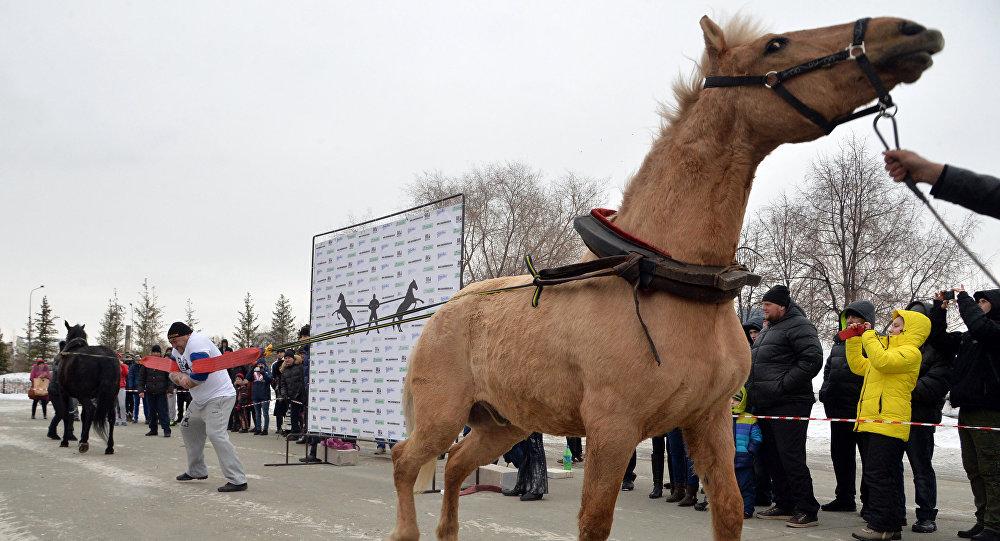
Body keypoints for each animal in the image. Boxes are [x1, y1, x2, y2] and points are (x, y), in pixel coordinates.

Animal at [56, 322, 118, 454]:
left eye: (67, 334)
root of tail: (106, 357)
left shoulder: (64, 393)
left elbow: (66, 415)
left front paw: (65, 441)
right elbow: (83, 417)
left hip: (82, 395)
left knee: (90, 410)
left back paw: (84, 442)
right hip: (111, 396)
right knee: (111, 417)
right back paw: (109, 446)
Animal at [386, 13, 940, 540]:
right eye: (775, 44)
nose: (912, 32)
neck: (666, 282)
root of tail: (442, 314)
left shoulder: (709, 420)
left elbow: (730, 510)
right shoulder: (612, 429)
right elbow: (595, 521)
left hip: (505, 421)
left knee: (455, 466)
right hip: (445, 417)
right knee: (405, 460)